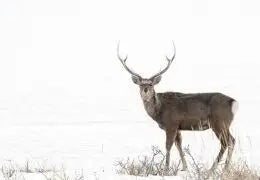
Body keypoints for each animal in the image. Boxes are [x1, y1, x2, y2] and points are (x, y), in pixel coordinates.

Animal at [117, 42, 238, 172]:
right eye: (140, 85)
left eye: (151, 84)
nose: (145, 90)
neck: (159, 111)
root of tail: (233, 102)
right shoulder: (178, 127)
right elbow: (179, 145)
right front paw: (184, 167)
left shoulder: (171, 123)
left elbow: (168, 146)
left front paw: (166, 168)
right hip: (222, 124)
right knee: (230, 141)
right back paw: (221, 168)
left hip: (220, 122)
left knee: (228, 142)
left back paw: (218, 169)